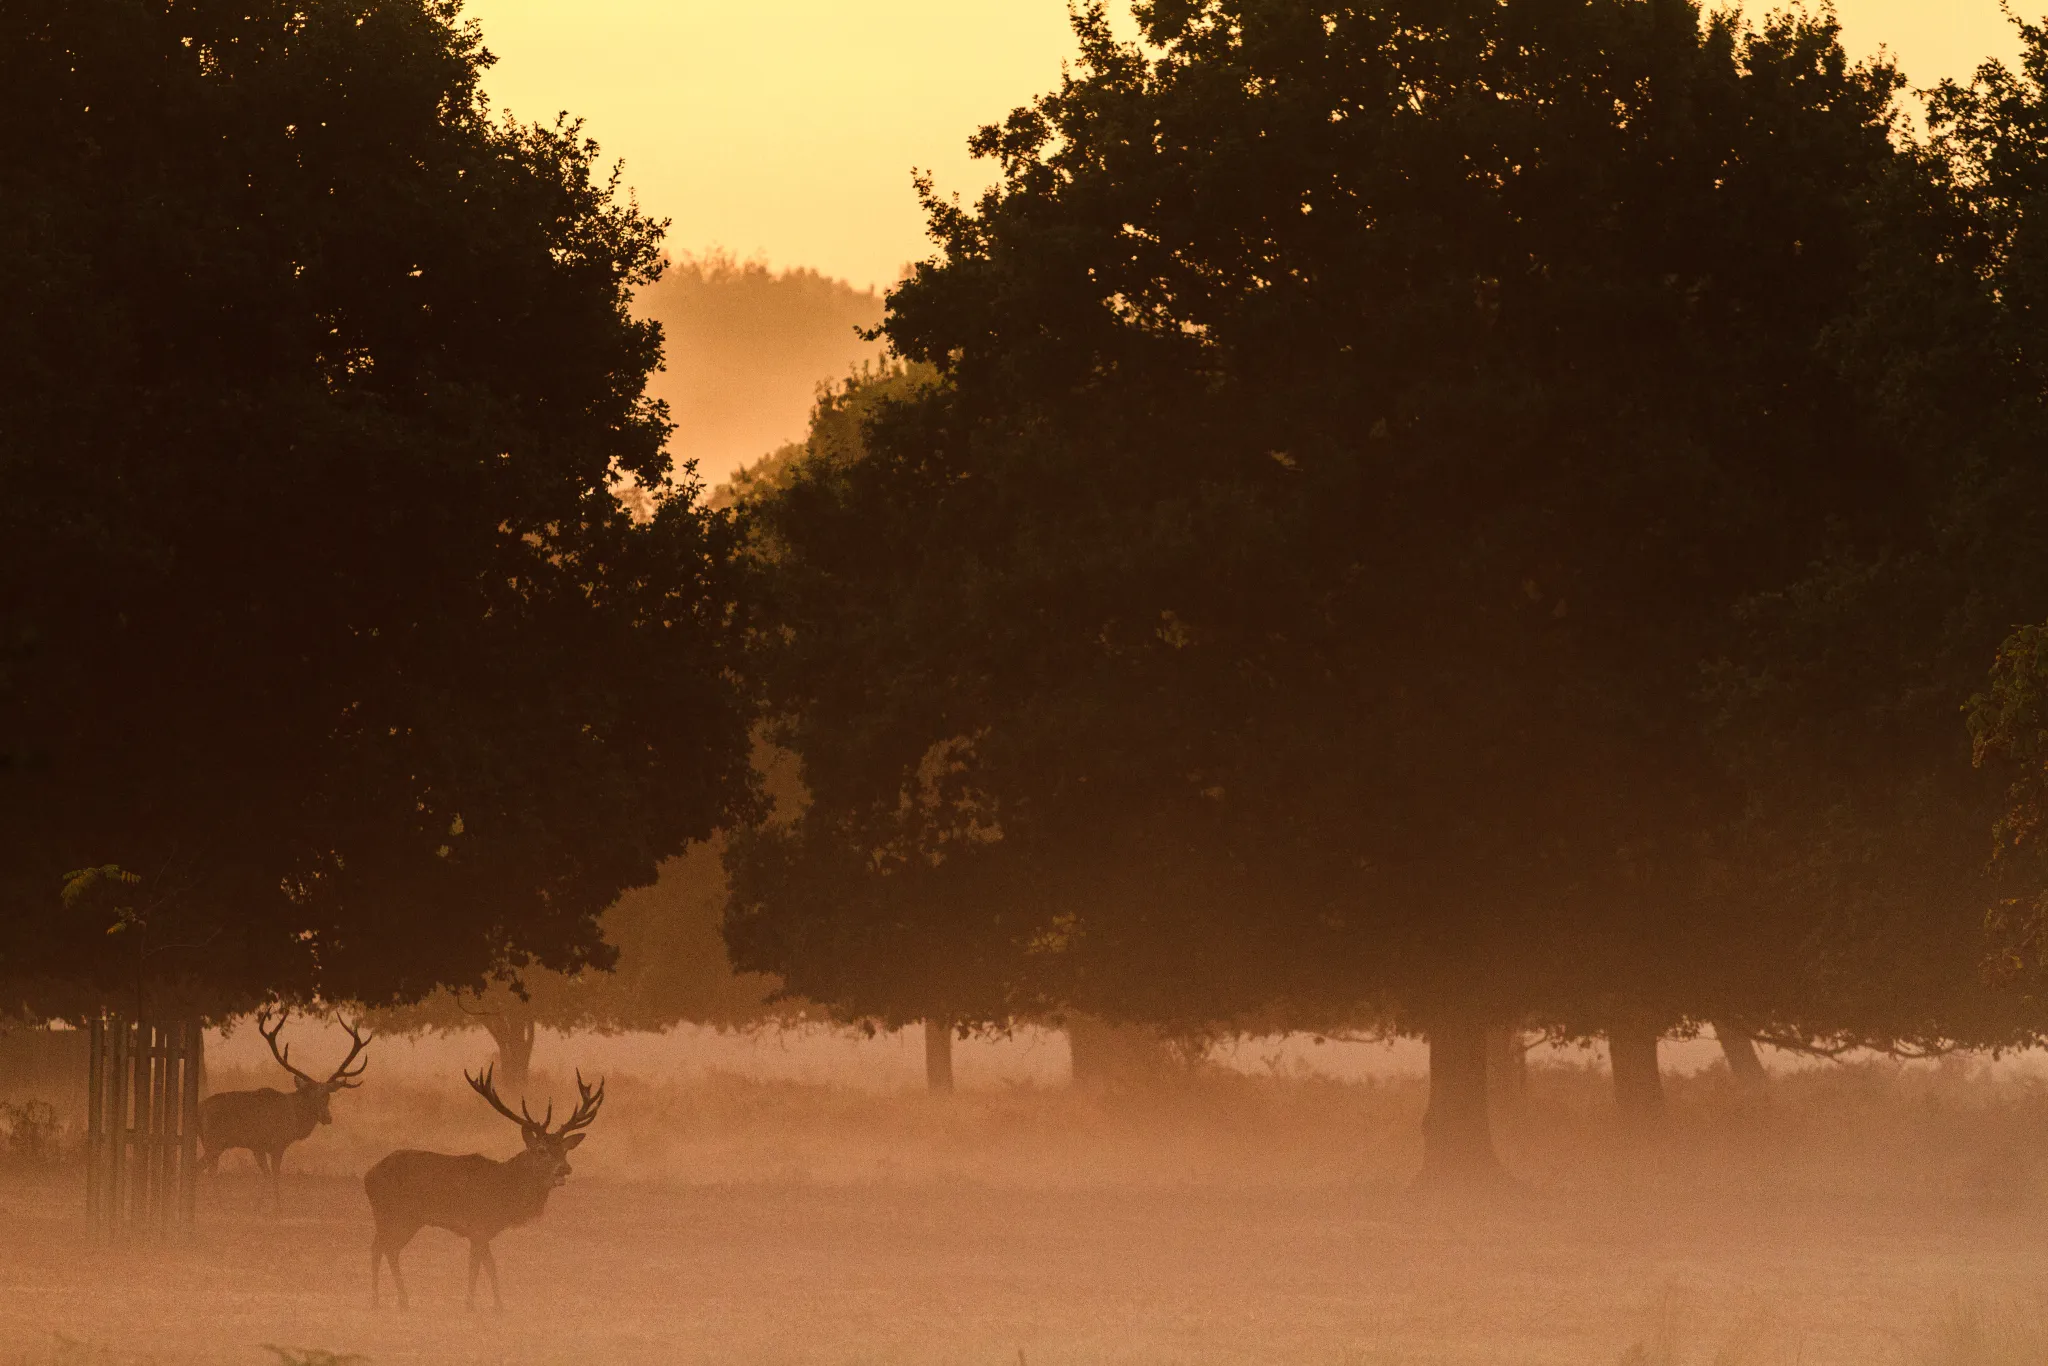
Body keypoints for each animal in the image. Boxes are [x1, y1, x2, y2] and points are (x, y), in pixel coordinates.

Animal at [199, 1011, 371, 1211]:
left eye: (328, 1096)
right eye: (311, 1095)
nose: (327, 1118)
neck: (293, 1120)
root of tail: (199, 1110)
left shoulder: (259, 1146)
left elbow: (266, 1176)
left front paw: (259, 1207)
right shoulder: (275, 1143)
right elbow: (274, 1176)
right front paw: (278, 1208)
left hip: (211, 1143)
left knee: (204, 1168)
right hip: (214, 1141)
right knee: (205, 1170)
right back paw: (216, 1205)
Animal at [365, 1064, 604, 1311]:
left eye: (564, 1150)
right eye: (541, 1150)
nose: (565, 1169)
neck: (504, 1193)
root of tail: (368, 1175)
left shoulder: (485, 1230)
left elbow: (490, 1266)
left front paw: (498, 1306)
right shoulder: (478, 1225)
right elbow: (476, 1267)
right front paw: (470, 1304)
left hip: (406, 1219)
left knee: (384, 1247)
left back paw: (393, 1299)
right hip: (394, 1214)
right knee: (382, 1248)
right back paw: (384, 1299)